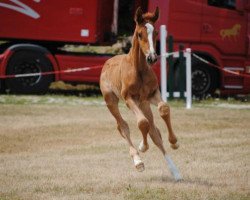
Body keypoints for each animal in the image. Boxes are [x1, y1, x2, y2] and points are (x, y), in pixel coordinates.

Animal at [100, 7, 182, 180]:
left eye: (156, 32)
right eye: (139, 34)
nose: (152, 57)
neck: (139, 70)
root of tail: (108, 62)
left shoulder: (152, 94)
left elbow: (163, 109)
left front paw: (174, 142)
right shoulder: (128, 98)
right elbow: (142, 123)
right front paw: (143, 147)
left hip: (144, 104)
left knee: (155, 132)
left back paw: (176, 172)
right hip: (112, 101)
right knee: (123, 126)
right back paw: (138, 160)